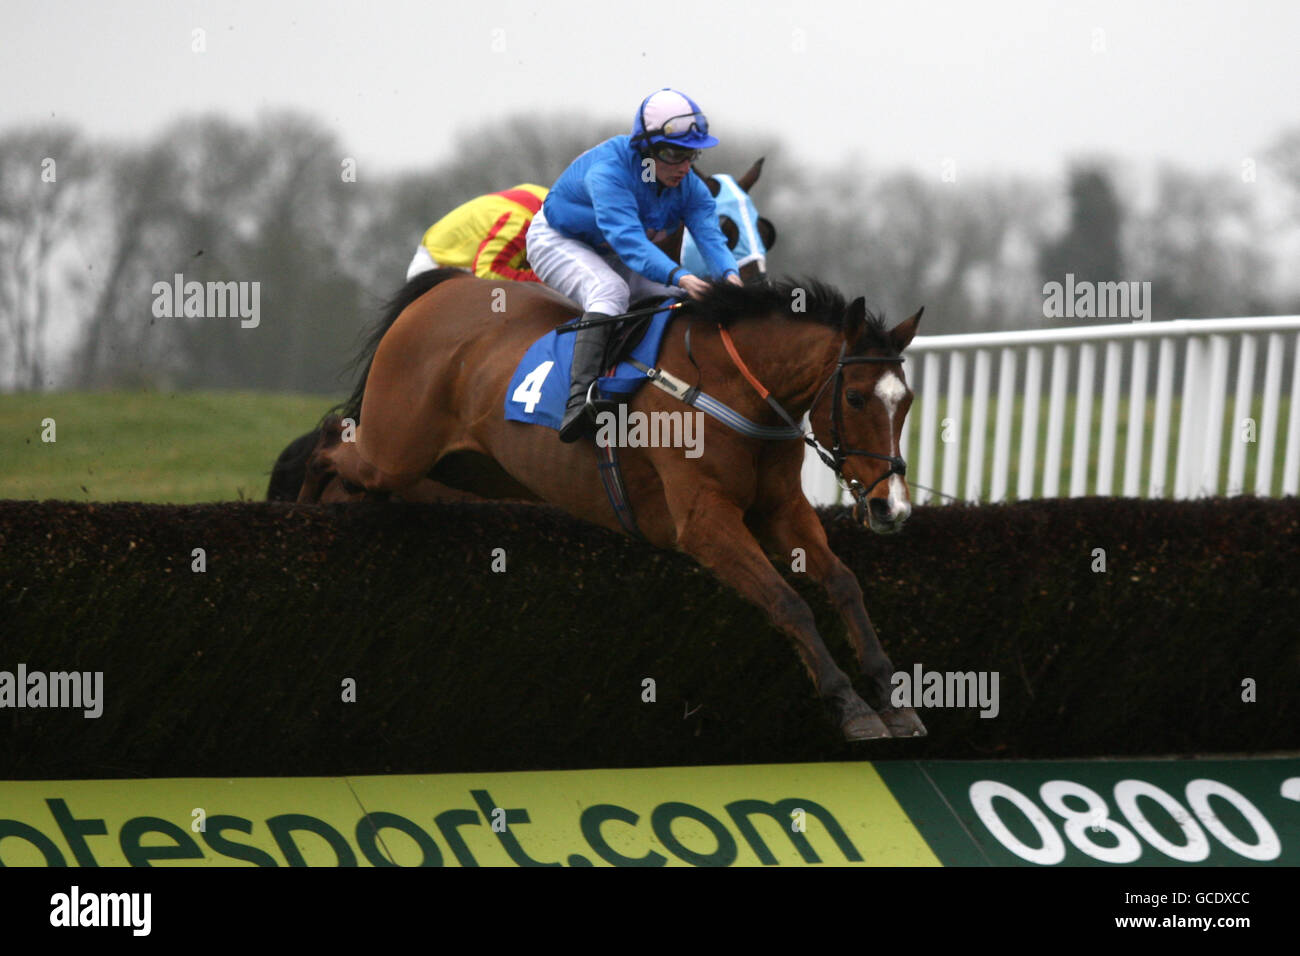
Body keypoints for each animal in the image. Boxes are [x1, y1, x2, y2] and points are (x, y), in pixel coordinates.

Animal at [295, 269, 925, 738]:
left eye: (908, 400)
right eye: (855, 396)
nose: (891, 509)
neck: (733, 387)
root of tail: (442, 290)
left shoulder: (781, 510)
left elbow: (843, 583)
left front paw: (893, 697)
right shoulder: (703, 522)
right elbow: (786, 601)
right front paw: (850, 705)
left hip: (460, 467)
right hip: (396, 449)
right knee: (328, 440)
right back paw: (300, 516)